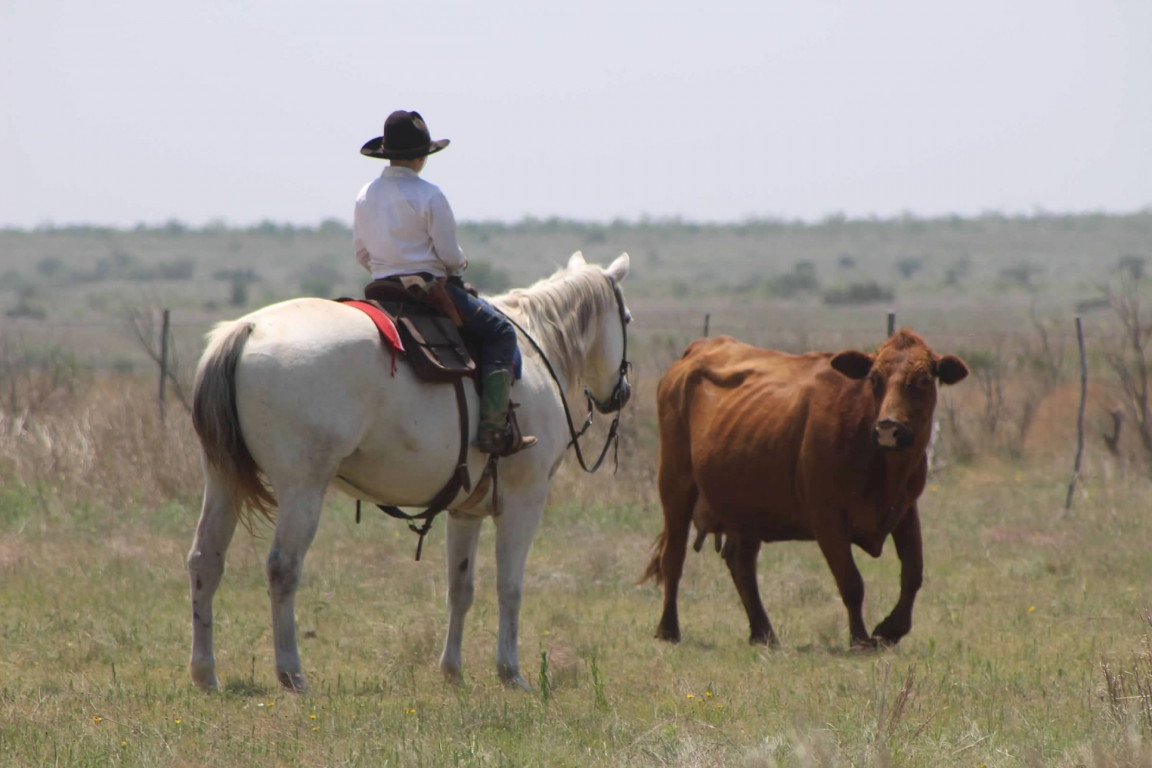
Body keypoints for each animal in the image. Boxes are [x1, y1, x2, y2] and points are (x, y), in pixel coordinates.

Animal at [187, 251, 631, 692]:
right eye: (626, 317)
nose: (620, 394)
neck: (537, 348)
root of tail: (246, 330)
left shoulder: (465, 509)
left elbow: (460, 588)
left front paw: (452, 671)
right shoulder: (525, 499)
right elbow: (510, 587)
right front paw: (511, 673)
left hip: (222, 481)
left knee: (205, 560)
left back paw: (206, 673)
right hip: (303, 488)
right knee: (282, 567)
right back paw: (292, 674)